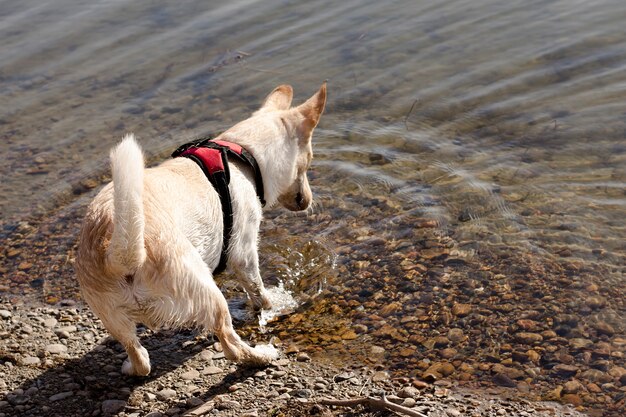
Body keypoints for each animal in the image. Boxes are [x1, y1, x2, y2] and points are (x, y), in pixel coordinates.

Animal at [73, 83, 326, 376]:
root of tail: (118, 257)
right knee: (230, 344)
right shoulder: (244, 253)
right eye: (309, 160)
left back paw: (130, 367)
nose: (307, 201)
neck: (243, 155)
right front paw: (273, 306)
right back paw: (262, 355)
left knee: (138, 356)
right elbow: (258, 291)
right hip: (207, 290)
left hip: (114, 318)